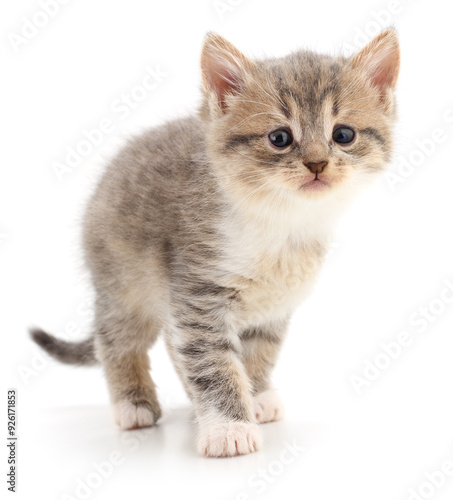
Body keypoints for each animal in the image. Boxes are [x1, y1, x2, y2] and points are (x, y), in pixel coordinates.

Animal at [30, 29, 400, 456]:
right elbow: (213, 362)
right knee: (117, 339)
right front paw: (228, 427)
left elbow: (256, 354)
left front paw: (254, 397)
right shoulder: (199, 292)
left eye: (343, 135)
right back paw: (132, 403)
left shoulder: (272, 308)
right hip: (123, 281)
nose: (317, 163)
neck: (281, 223)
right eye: (279, 138)